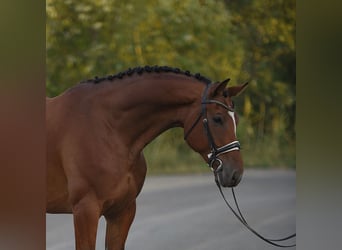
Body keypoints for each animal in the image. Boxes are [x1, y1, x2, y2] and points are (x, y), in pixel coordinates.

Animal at [46, 65, 248, 249]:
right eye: (218, 119)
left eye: (237, 120)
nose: (235, 174)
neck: (108, 128)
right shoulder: (85, 210)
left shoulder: (123, 211)